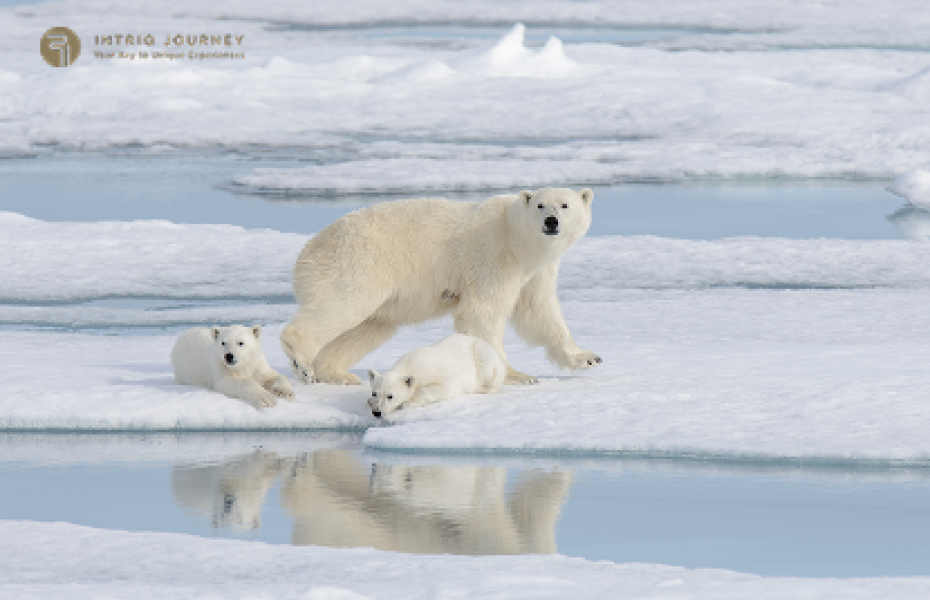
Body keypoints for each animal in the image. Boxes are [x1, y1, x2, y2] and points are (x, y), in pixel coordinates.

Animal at [281, 187, 602, 386]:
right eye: (540, 205)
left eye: (565, 205)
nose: (551, 221)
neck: (515, 238)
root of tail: (309, 249)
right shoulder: (493, 258)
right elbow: (481, 314)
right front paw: (518, 375)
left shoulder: (536, 270)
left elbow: (538, 312)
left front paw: (586, 357)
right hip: (359, 263)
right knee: (343, 303)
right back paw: (303, 361)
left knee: (369, 327)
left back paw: (338, 373)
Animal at [366, 333, 507, 418]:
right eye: (374, 393)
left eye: (390, 396)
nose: (377, 412)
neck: (411, 364)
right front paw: (369, 401)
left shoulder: (438, 373)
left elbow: (446, 387)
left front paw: (408, 403)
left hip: (482, 354)